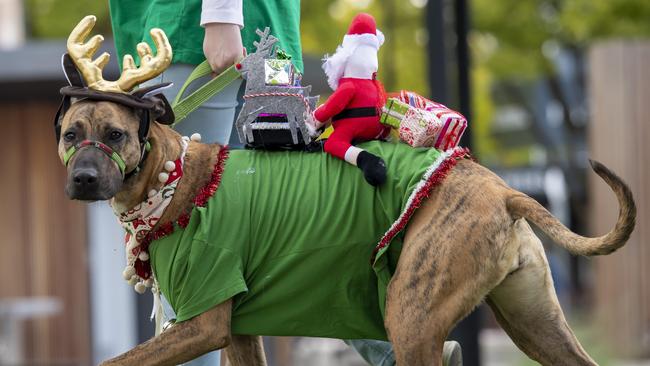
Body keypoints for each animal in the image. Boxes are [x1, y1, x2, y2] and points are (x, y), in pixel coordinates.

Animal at [58, 100, 636, 366]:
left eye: (114, 134)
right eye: (69, 134)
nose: (82, 178)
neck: (173, 179)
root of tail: (503, 190)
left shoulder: (202, 324)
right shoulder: (236, 333)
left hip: (411, 314)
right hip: (534, 322)